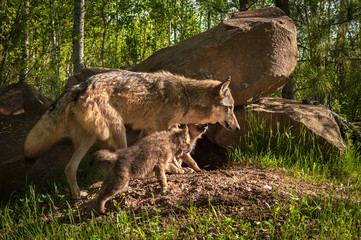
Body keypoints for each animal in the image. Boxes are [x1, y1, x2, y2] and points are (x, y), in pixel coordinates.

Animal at [22, 69, 239, 199]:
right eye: (231, 108)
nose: (237, 128)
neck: (186, 96)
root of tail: (77, 87)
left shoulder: (150, 129)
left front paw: (181, 169)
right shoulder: (161, 125)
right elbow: (174, 154)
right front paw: (177, 170)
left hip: (88, 139)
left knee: (69, 167)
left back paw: (77, 195)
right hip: (118, 129)